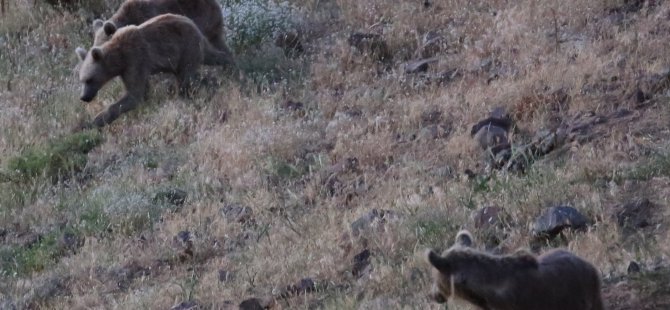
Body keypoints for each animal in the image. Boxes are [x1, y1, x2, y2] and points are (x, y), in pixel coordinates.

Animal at [75, 13, 234, 128]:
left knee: (186, 78)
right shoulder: (128, 69)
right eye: (81, 80)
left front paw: (93, 122)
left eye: (90, 79)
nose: (84, 97)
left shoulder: (135, 59)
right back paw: (229, 64)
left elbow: (134, 95)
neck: (119, 57)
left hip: (187, 47)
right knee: (211, 58)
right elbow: (141, 91)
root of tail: (194, 25)